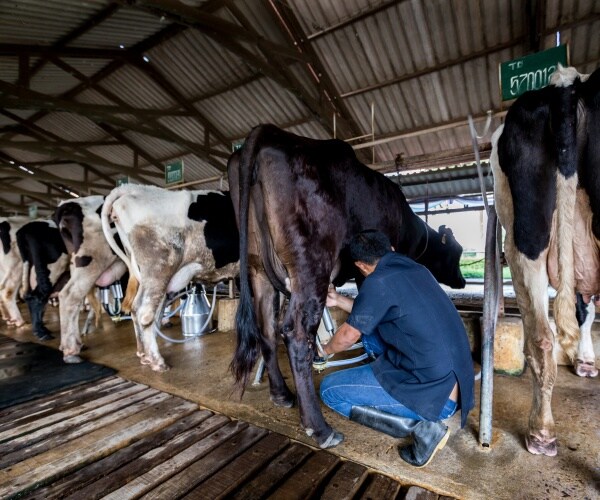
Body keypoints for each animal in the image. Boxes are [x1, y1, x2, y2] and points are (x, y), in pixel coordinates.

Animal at [101, 185, 239, 372]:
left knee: (139, 310)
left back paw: (144, 355)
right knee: (145, 312)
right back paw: (157, 361)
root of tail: (134, 189)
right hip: (159, 269)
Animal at [227, 124, 466, 450]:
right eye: (456, 251)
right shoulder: (368, 271)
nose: (463, 281)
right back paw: (320, 428)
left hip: (258, 268)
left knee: (267, 329)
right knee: (296, 333)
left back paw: (281, 394)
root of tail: (267, 131)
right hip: (310, 259)